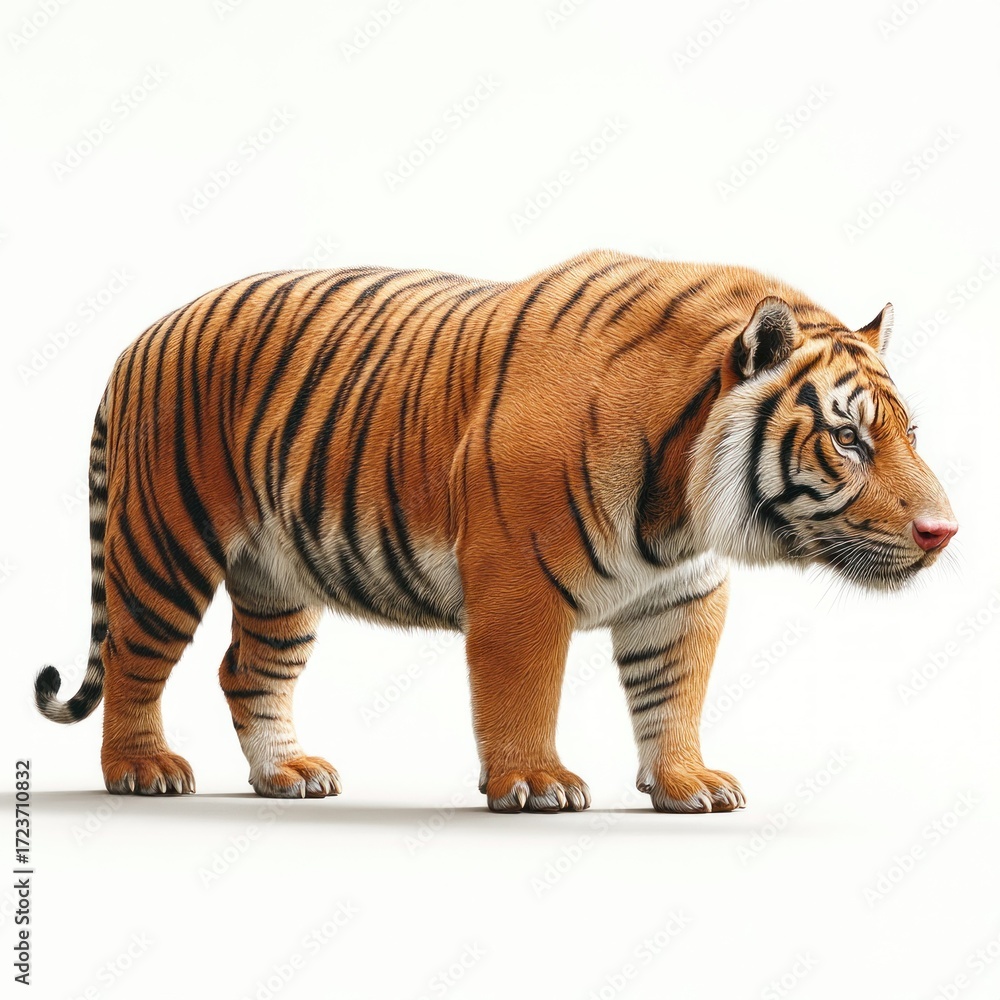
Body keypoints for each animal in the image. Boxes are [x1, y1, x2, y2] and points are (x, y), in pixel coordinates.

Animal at [34, 249, 958, 813]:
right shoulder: (520, 584)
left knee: (246, 670)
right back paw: (141, 770)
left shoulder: (682, 596)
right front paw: (535, 782)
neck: (683, 504)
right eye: (849, 439)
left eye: (910, 433)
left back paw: (286, 774)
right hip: (166, 545)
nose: (945, 531)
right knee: (134, 659)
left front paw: (686, 783)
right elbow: (522, 692)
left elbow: (673, 694)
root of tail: (142, 336)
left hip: (277, 574)